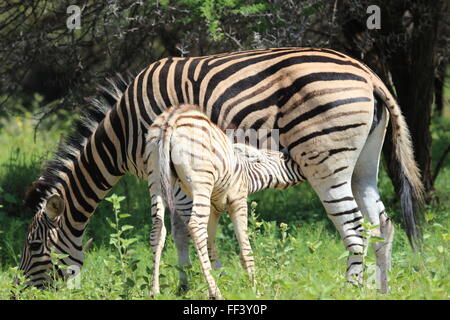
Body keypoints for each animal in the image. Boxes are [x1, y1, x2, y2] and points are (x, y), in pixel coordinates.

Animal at [146, 104, 304, 298]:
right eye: (284, 158)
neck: (246, 174)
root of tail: (171, 119)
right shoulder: (238, 200)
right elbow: (245, 249)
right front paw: (254, 289)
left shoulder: (214, 209)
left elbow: (211, 246)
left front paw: (219, 277)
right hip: (200, 181)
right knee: (195, 227)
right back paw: (216, 293)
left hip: (155, 178)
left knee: (158, 229)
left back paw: (154, 291)